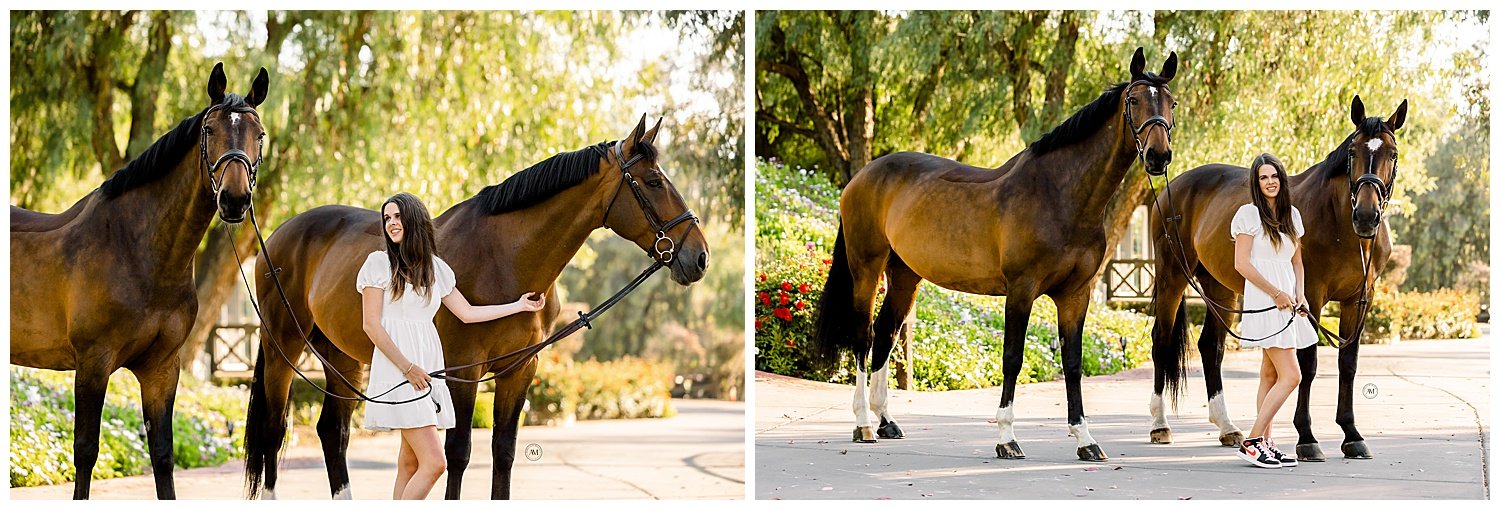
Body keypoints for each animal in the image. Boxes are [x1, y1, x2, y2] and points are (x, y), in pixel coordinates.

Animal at [10, 60, 268, 498]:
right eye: (210, 130)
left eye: (260, 134)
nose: (234, 200)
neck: (137, 250)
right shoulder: (93, 363)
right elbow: (85, 451)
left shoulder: (162, 368)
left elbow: (162, 455)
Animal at [243, 114, 711, 498]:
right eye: (654, 182)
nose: (699, 257)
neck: (505, 257)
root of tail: (279, 234)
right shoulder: (462, 370)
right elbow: (459, 452)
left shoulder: (519, 370)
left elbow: (503, 452)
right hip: (284, 346)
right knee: (274, 429)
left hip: (343, 357)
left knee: (332, 432)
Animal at [816, 48, 1176, 462]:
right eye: (1134, 101)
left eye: (1171, 103)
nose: (1158, 156)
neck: (1058, 194)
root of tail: (860, 177)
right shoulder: (1021, 290)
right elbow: (1012, 358)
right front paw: (1007, 438)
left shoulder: (1076, 294)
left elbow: (1072, 363)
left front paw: (1086, 440)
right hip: (866, 268)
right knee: (863, 335)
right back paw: (862, 424)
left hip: (904, 275)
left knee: (886, 334)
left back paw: (886, 421)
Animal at [1146, 92, 1404, 462]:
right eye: (1353, 152)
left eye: (1392, 154)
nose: (1367, 216)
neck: (1340, 225)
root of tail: (1173, 187)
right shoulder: (1311, 297)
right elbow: (1308, 364)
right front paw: (1307, 438)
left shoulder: (1360, 300)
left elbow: (1348, 364)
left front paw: (1352, 435)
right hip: (1172, 277)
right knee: (1162, 341)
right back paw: (1159, 425)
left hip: (1220, 289)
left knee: (1211, 347)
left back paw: (1227, 428)